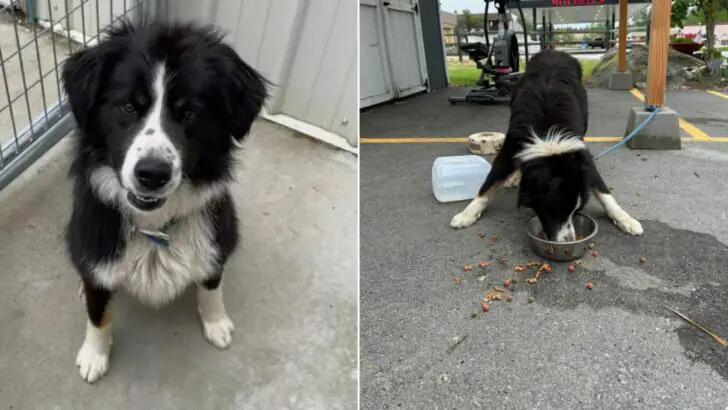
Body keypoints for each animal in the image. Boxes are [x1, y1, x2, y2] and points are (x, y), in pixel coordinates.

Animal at [61, 20, 268, 384]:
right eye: (129, 106)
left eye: (191, 113)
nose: (152, 174)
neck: (155, 228)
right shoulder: (94, 245)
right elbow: (98, 312)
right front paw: (94, 355)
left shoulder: (218, 238)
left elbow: (212, 282)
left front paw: (216, 322)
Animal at [450, 48, 644, 240]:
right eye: (556, 208)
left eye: (576, 210)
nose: (570, 240)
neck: (548, 136)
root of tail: (554, 51)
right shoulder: (512, 146)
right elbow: (488, 185)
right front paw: (467, 214)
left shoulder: (581, 158)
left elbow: (605, 193)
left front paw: (625, 219)